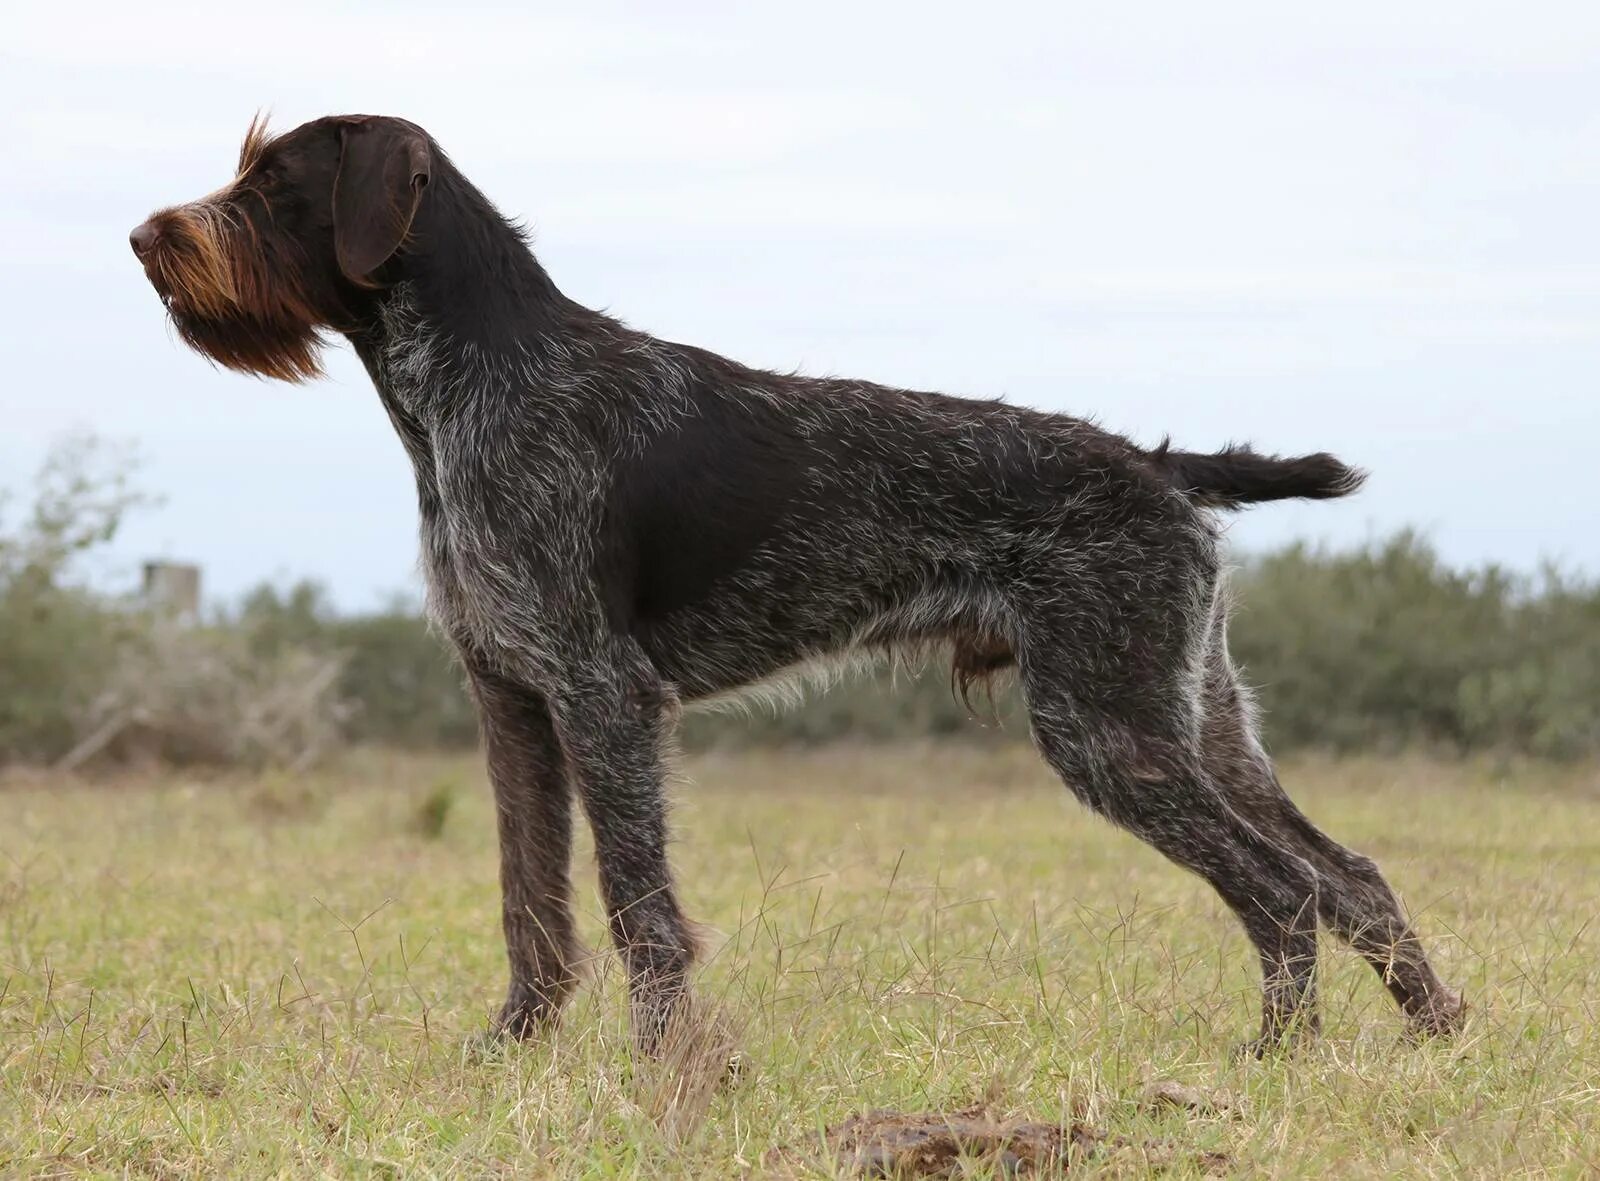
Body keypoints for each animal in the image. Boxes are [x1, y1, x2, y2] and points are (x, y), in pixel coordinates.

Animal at [131, 115, 1465, 1056]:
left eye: (271, 183)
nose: (146, 239)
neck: (469, 382)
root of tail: (1154, 461)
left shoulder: (602, 693)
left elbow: (633, 900)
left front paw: (664, 1068)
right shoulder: (509, 697)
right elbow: (529, 900)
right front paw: (512, 1048)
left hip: (1109, 726)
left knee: (1283, 889)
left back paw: (1277, 1057)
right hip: (1198, 718)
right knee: (1348, 873)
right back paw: (1438, 1031)